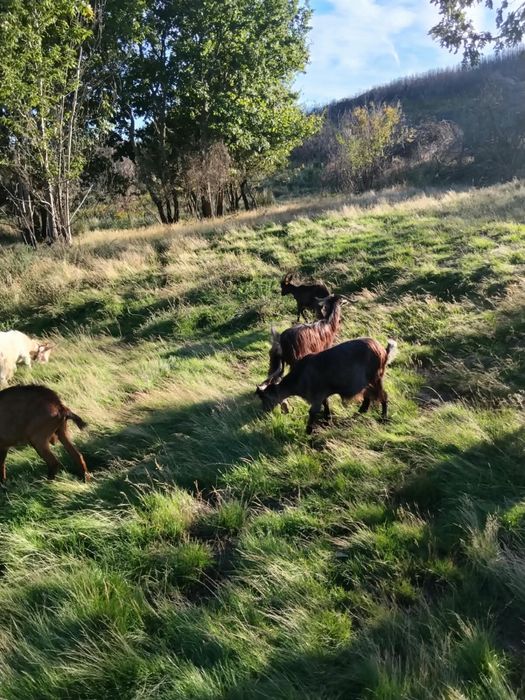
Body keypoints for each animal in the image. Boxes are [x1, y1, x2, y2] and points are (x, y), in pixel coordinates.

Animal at [256, 338, 397, 434]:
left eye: (265, 397)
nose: (264, 412)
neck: (301, 376)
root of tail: (383, 351)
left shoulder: (316, 395)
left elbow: (313, 411)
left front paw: (308, 430)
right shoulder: (323, 393)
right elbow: (326, 404)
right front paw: (327, 419)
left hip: (375, 378)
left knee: (383, 396)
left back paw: (384, 417)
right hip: (367, 383)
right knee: (368, 396)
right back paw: (361, 411)